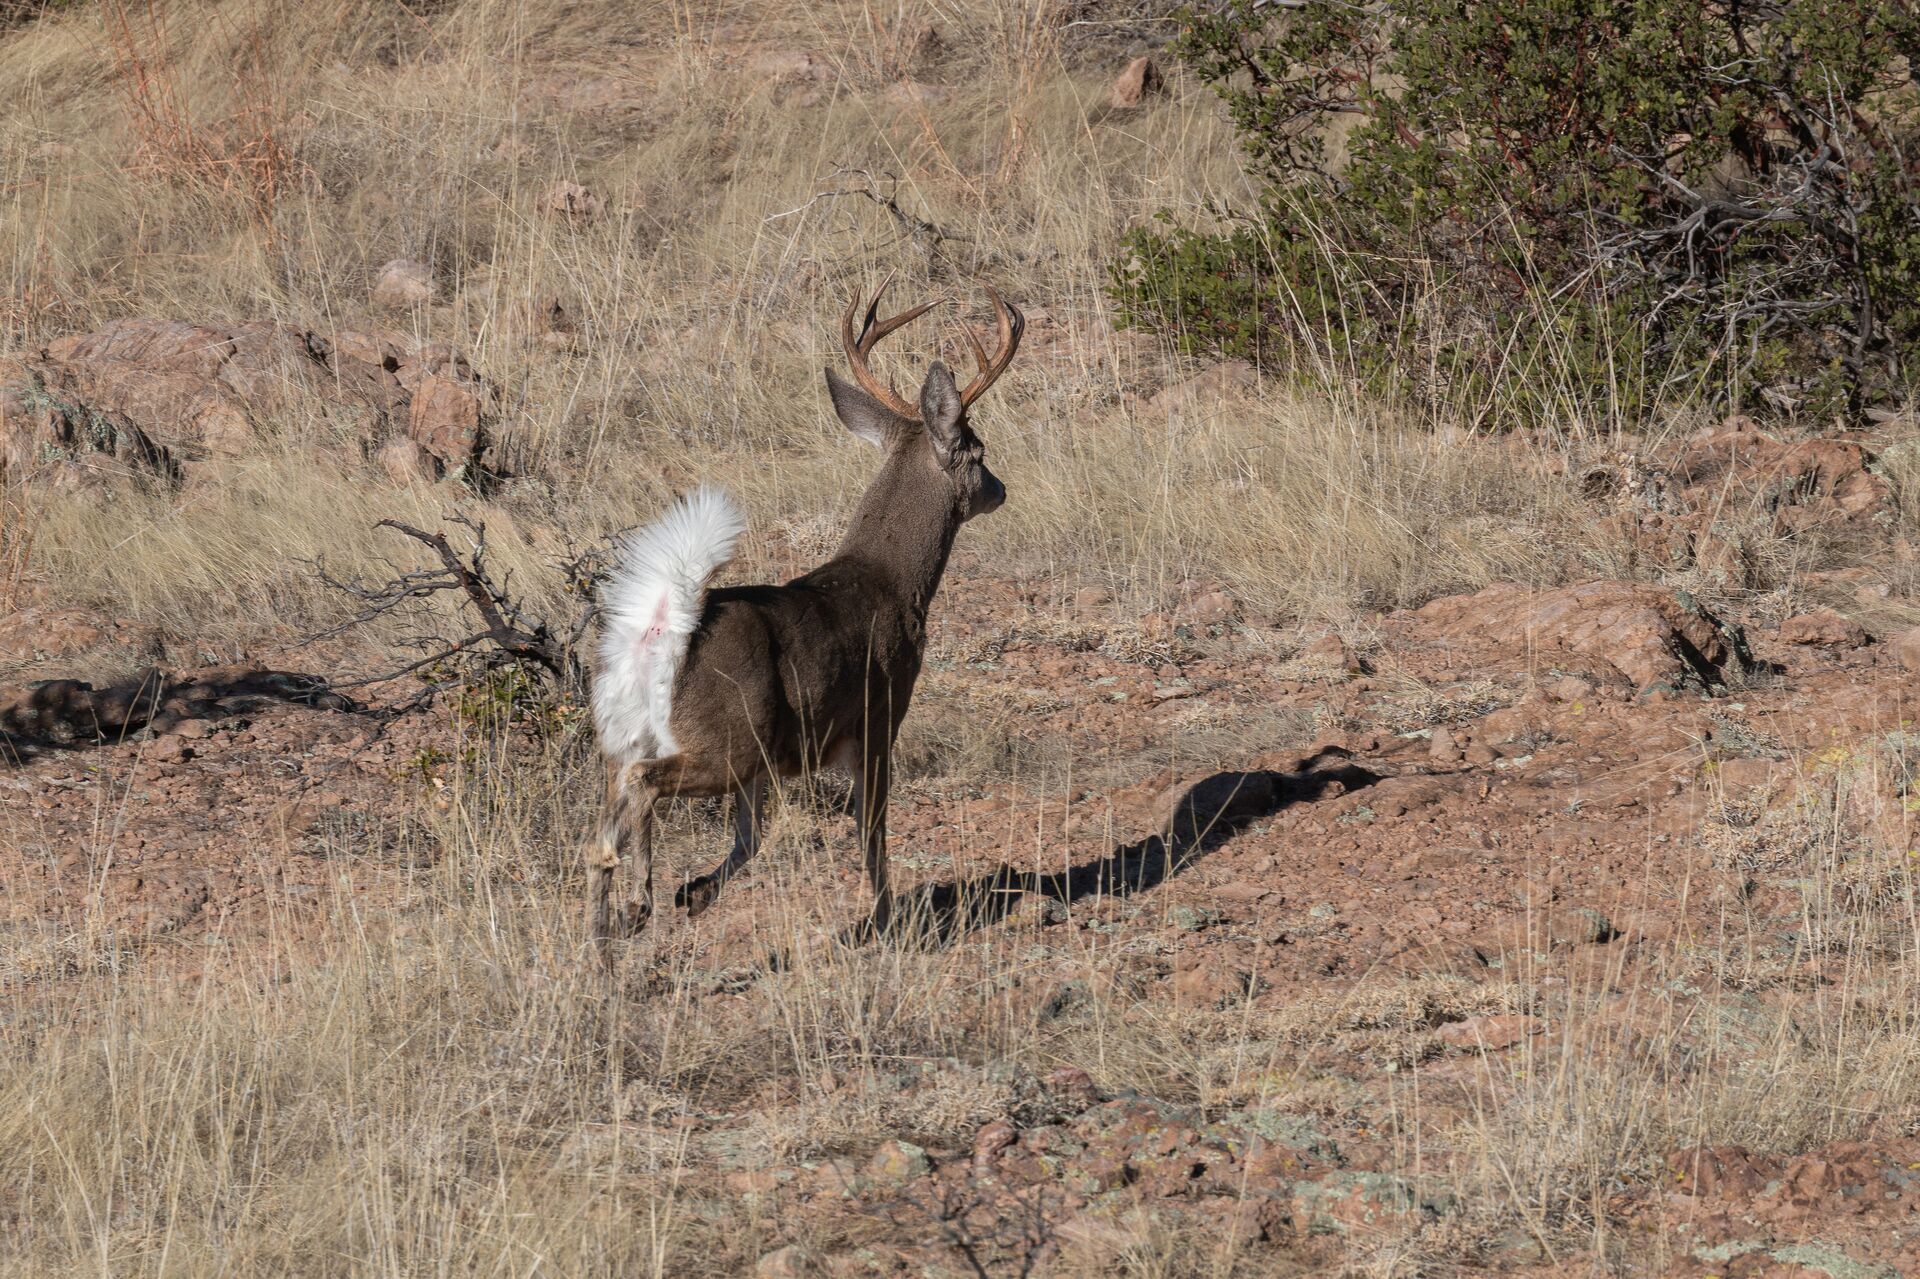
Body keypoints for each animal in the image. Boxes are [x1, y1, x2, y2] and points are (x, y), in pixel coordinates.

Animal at [583, 276, 1029, 956]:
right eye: (977, 451)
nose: (1000, 489)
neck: (894, 583)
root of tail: (660, 630)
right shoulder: (877, 716)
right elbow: (871, 830)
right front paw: (887, 923)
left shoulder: (771, 765)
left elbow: (751, 838)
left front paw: (698, 892)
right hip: (726, 739)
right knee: (639, 784)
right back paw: (636, 903)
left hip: (642, 732)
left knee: (606, 820)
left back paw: (607, 929)